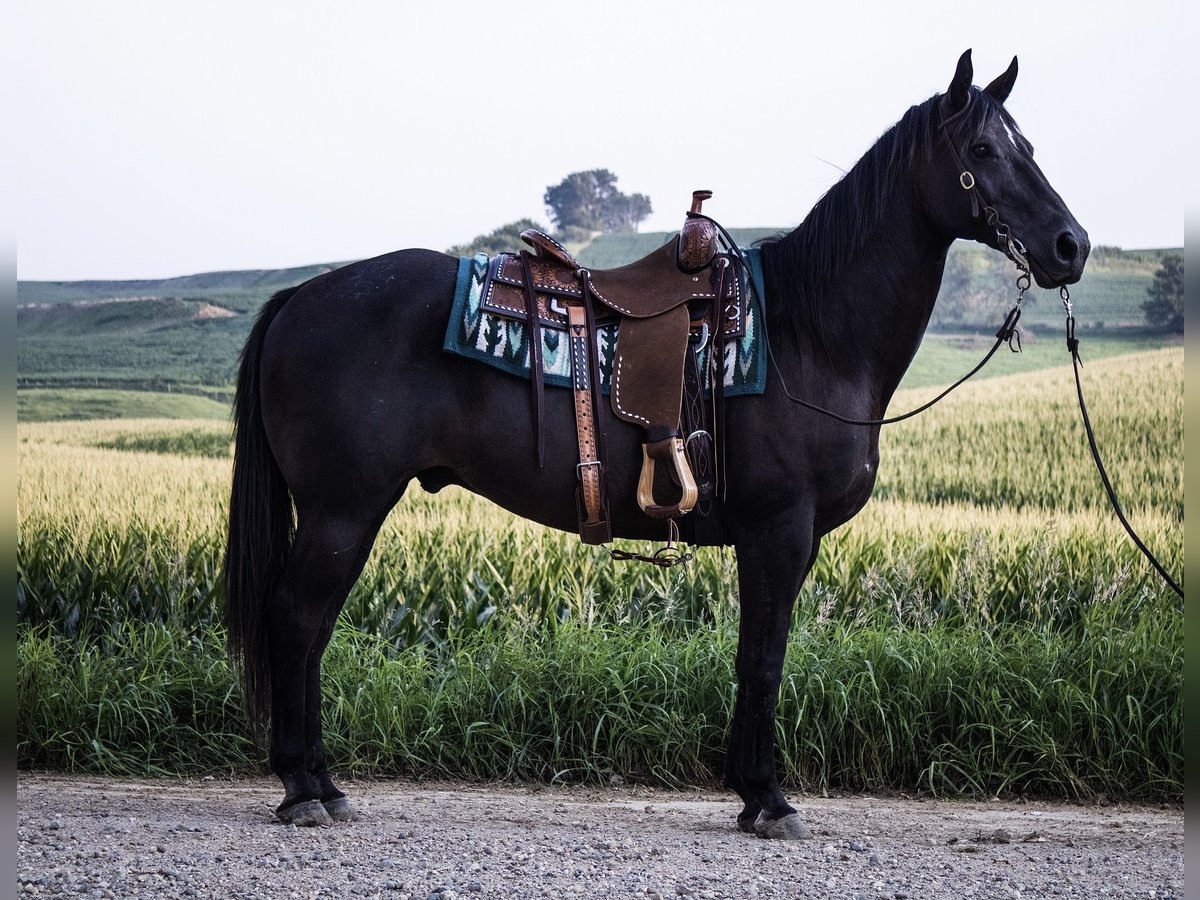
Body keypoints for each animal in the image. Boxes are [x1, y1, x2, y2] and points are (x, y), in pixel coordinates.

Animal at [225, 50, 1089, 836]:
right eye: (983, 150)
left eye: (1029, 146)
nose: (1071, 245)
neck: (808, 333)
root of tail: (300, 297)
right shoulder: (779, 531)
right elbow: (764, 657)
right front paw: (767, 798)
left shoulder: (785, 539)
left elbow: (756, 654)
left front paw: (749, 791)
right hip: (342, 511)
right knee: (297, 623)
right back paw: (303, 789)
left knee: (308, 630)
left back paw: (321, 783)